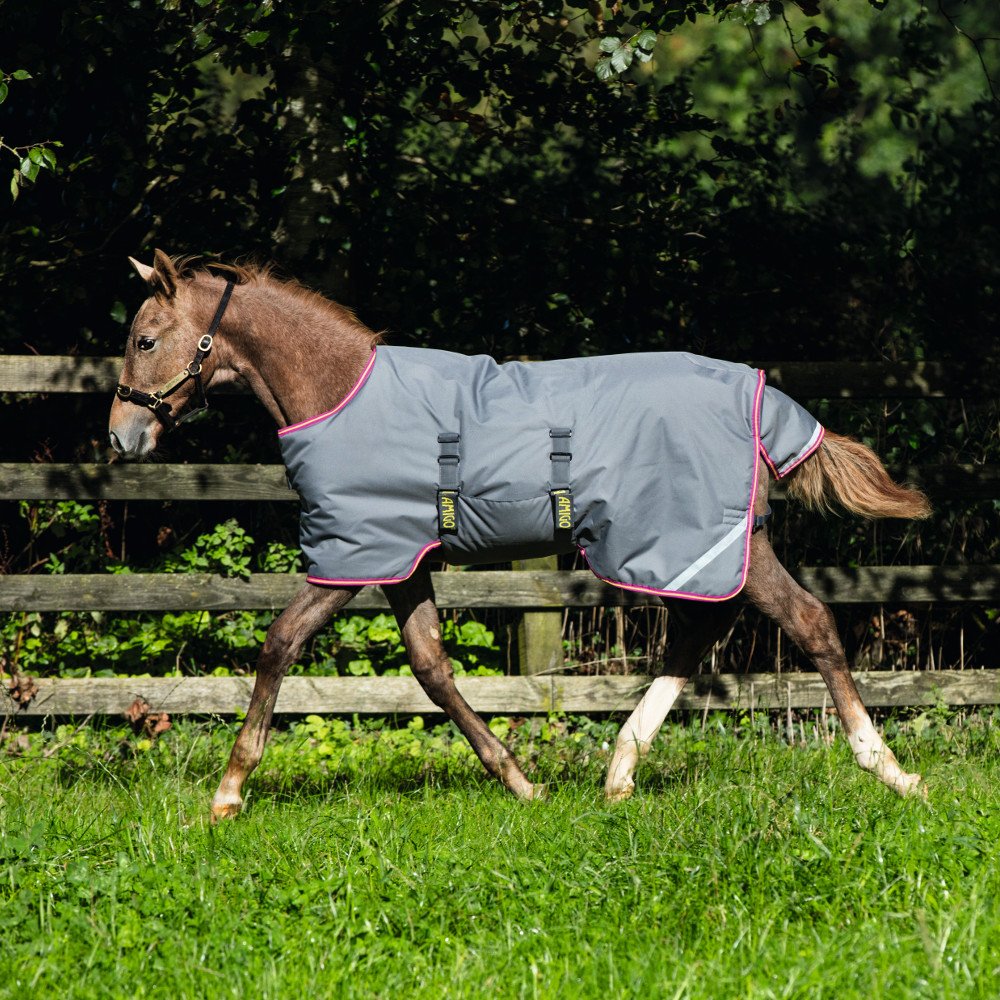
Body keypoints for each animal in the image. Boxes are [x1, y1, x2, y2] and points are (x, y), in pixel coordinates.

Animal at [109, 251, 932, 821]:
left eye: (145, 339)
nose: (121, 436)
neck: (339, 392)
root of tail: (763, 394)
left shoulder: (352, 559)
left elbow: (280, 642)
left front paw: (228, 792)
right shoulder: (401, 561)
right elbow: (431, 668)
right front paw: (520, 780)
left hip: (718, 541)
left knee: (806, 621)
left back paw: (890, 769)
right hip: (695, 545)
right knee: (701, 630)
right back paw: (620, 772)